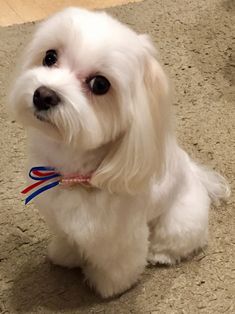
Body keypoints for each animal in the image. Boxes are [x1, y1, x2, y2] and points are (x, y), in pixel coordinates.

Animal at [9, 6, 229, 296]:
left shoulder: (121, 236)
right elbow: (68, 240)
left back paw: (159, 255)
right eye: (50, 57)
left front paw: (108, 287)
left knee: (174, 242)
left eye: (100, 85)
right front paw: (65, 257)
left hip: (180, 220)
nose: (43, 95)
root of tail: (196, 175)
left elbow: (117, 264)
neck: (76, 172)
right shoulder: (61, 220)